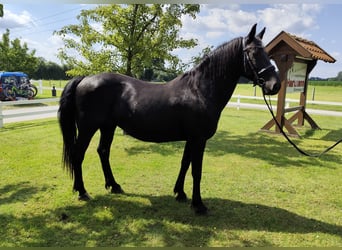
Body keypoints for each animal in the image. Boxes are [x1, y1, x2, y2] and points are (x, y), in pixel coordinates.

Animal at [57, 23, 280, 215]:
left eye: (268, 53)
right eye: (254, 53)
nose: (275, 85)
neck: (199, 89)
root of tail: (85, 79)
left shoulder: (191, 139)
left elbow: (185, 164)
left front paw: (180, 193)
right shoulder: (199, 139)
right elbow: (196, 171)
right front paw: (198, 205)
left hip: (108, 127)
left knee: (103, 152)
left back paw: (114, 186)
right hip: (88, 128)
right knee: (78, 154)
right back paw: (82, 191)